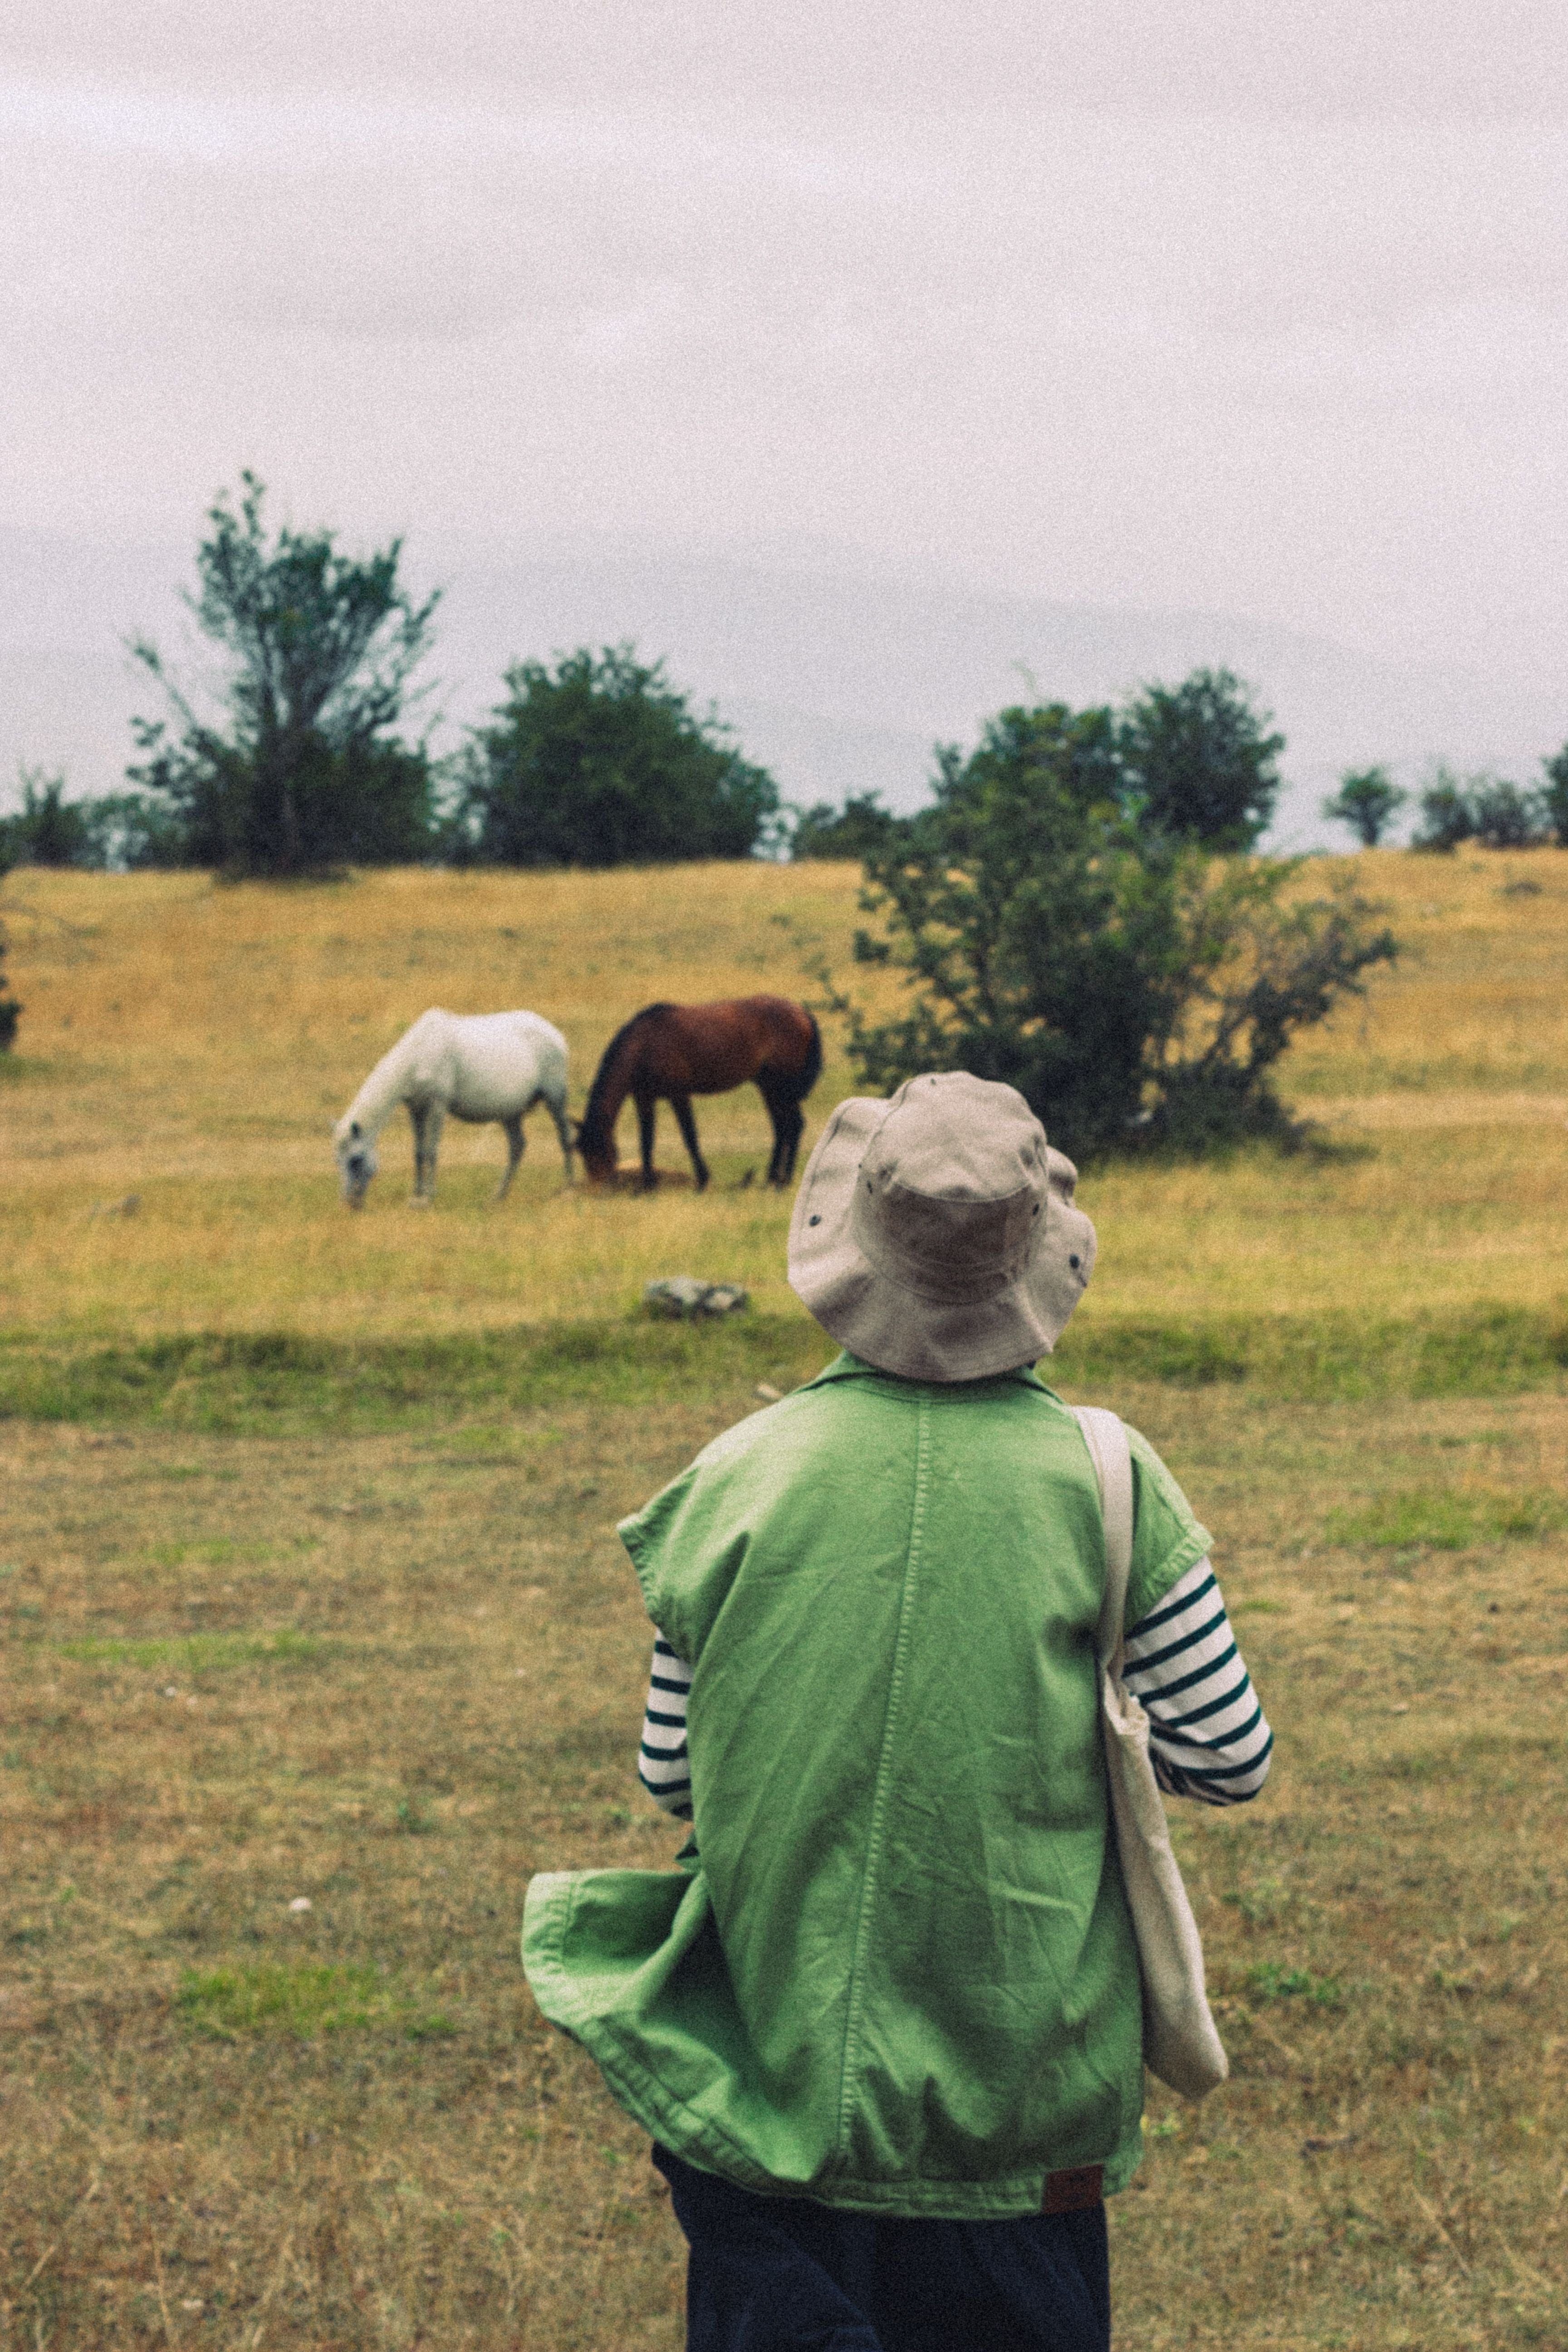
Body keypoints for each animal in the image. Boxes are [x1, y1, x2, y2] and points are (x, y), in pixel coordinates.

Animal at [333, 1008, 572, 1207]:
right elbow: (418, 1152)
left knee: (564, 1138)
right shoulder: (416, 1110)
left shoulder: (437, 1106)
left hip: (555, 1099)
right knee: (517, 1147)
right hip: (510, 1113)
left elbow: (431, 1151)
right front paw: (416, 1195)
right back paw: (498, 1196)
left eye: (356, 1160)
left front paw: (427, 1197)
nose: (350, 1203)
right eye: (337, 1161)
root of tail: (555, 1035)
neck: (419, 1054)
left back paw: (569, 1188)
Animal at [576, 995, 821, 1192]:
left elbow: (690, 1137)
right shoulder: (644, 1099)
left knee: (794, 1125)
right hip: (768, 1086)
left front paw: (703, 1180)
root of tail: (802, 1013)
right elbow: (646, 1141)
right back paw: (772, 1178)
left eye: (599, 1151)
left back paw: (784, 1181)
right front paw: (647, 1185)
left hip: (782, 1088)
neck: (645, 1045)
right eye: (583, 1154)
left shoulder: (679, 1095)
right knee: (781, 1128)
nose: (597, 1189)